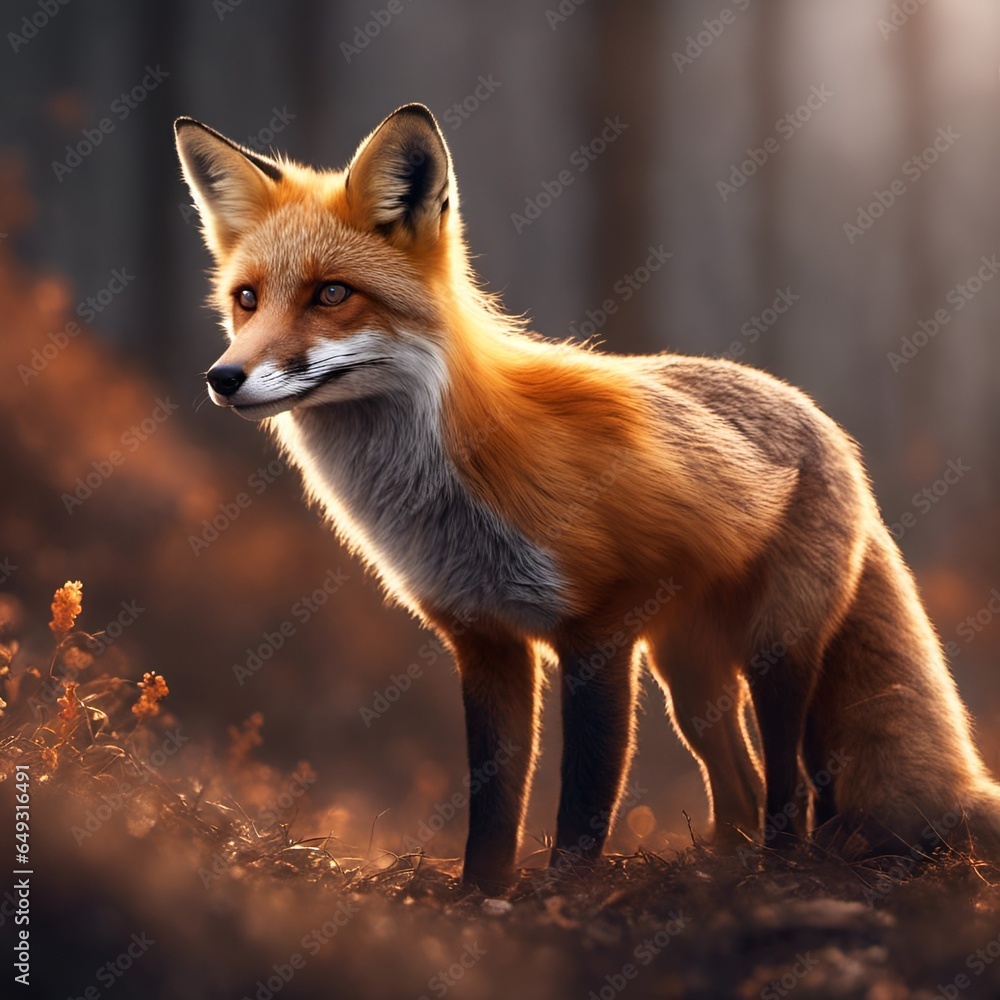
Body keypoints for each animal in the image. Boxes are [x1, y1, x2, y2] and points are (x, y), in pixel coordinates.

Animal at [175, 103, 1000, 893]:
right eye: (246, 300)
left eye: (332, 294)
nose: (223, 377)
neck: (452, 498)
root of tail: (823, 421)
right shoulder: (484, 639)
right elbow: (494, 804)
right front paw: (480, 898)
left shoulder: (600, 632)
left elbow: (584, 799)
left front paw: (564, 897)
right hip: (688, 675)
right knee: (737, 783)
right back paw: (722, 868)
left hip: (777, 651)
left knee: (794, 784)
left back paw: (791, 870)